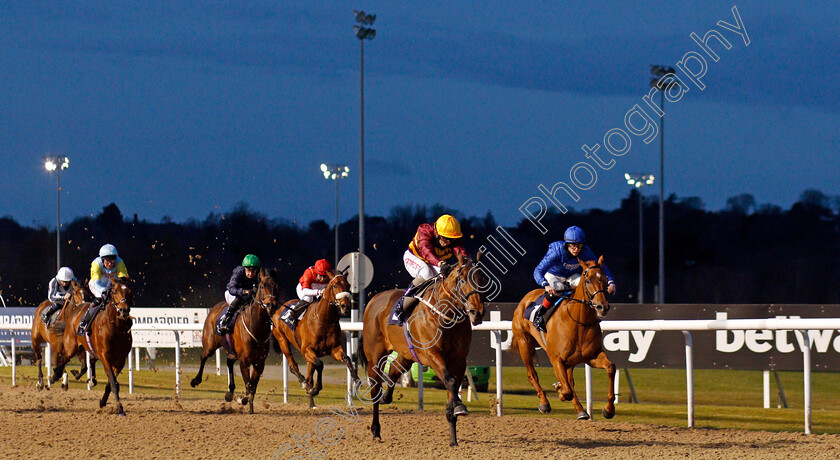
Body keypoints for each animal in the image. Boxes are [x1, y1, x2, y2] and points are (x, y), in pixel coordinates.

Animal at [49, 278, 133, 416]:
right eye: (114, 292)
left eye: (129, 291)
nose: (124, 309)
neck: (116, 328)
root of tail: (77, 309)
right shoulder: (105, 356)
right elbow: (114, 383)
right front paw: (119, 408)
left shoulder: (120, 360)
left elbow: (111, 383)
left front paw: (103, 402)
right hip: (72, 345)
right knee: (65, 358)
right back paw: (54, 376)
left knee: (86, 364)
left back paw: (87, 378)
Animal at [190, 266, 278, 414]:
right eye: (261, 286)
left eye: (276, 286)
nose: (271, 305)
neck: (256, 327)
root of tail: (214, 309)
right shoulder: (244, 360)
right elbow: (249, 385)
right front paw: (243, 400)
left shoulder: (259, 363)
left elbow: (252, 387)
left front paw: (250, 407)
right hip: (210, 344)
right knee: (203, 356)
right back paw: (196, 380)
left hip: (232, 350)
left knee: (229, 361)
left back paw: (230, 392)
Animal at [272, 272, 358, 408]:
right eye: (334, 285)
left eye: (348, 285)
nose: (345, 306)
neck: (323, 319)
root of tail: (278, 311)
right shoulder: (306, 350)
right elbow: (320, 364)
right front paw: (316, 388)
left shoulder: (334, 349)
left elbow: (347, 358)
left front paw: (356, 379)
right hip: (282, 340)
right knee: (293, 366)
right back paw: (304, 383)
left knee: (309, 375)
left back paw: (312, 402)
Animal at [360, 252, 486, 446]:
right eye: (463, 279)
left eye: (482, 279)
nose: (477, 312)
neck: (446, 315)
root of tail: (374, 300)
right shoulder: (433, 355)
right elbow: (450, 381)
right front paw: (460, 406)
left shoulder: (459, 360)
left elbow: (453, 386)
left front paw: (453, 437)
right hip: (375, 356)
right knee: (375, 388)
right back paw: (375, 430)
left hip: (406, 353)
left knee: (395, 369)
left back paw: (386, 398)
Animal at [508, 258, 612, 420]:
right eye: (588, 280)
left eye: (606, 279)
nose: (602, 307)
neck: (578, 322)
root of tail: (527, 297)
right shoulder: (556, 359)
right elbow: (567, 391)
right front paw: (559, 390)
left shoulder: (591, 356)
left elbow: (610, 368)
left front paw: (609, 410)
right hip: (524, 343)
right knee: (532, 375)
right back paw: (545, 403)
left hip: (570, 361)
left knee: (570, 381)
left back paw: (581, 411)